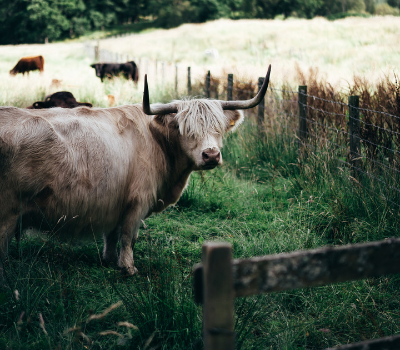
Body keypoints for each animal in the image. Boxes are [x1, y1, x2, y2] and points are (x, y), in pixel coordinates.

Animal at [0, 65, 272, 278]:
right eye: (186, 129)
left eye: (219, 128)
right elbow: (128, 236)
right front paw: (128, 268)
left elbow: (112, 235)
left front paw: (109, 260)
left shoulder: (114, 201)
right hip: (8, 213)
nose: (211, 155)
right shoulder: (138, 201)